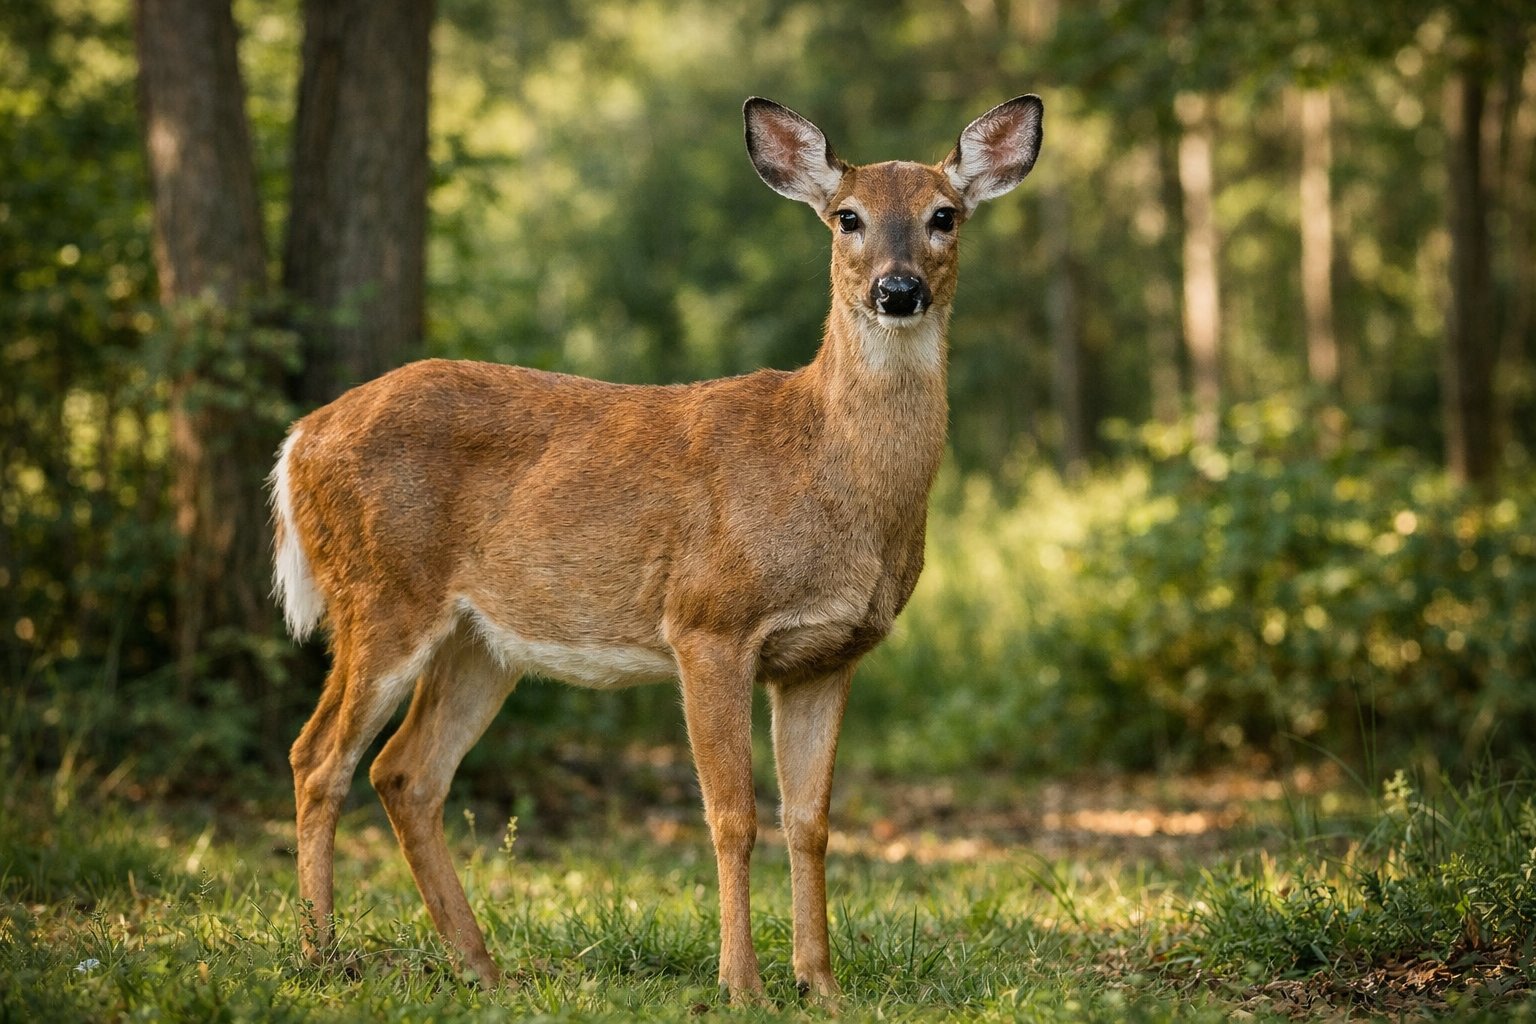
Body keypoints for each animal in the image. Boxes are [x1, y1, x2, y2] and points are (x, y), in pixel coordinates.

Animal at [269, 93, 1043, 1005]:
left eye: (944, 216)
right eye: (847, 217)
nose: (898, 290)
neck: (824, 466)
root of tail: (300, 437)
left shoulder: (827, 655)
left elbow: (811, 821)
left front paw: (822, 985)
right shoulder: (708, 622)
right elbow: (733, 817)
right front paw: (742, 986)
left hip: (481, 640)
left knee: (406, 773)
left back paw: (483, 968)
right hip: (380, 591)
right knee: (318, 755)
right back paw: (321, 957)